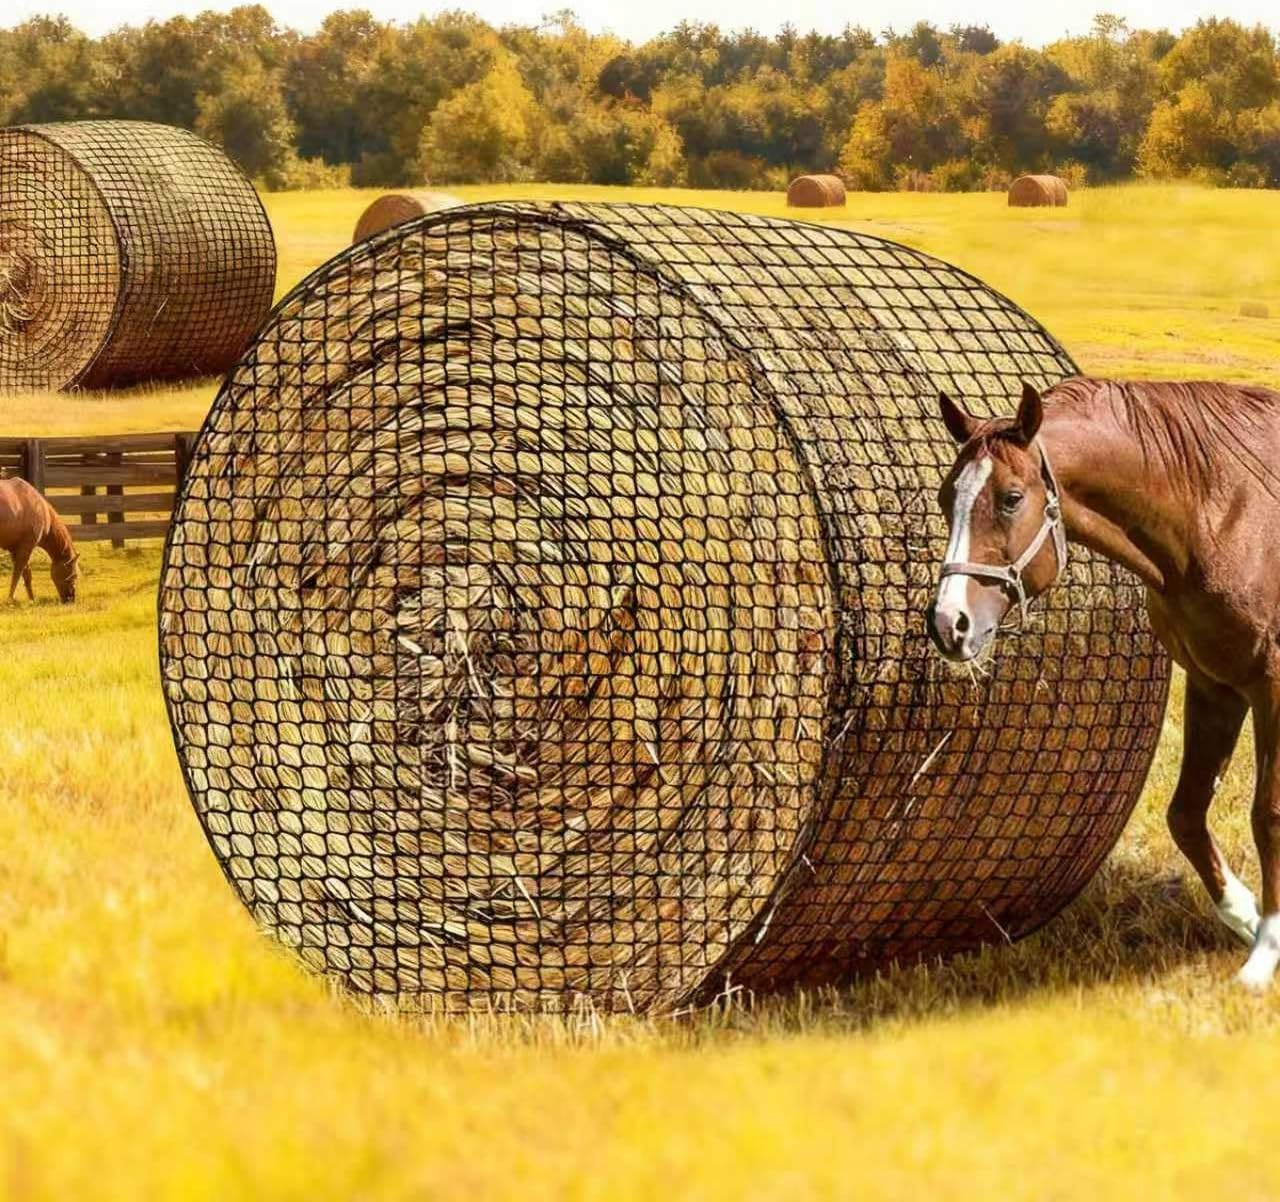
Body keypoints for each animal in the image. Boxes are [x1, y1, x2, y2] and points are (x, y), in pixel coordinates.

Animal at [926, 376, 1280, 990]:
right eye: (949, 499)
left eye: (1011, 498)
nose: (951, 623)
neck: (1224, 510)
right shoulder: (1214, 683)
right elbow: (1186, 815)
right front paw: (1244, 916)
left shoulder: (1272, 685)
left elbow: (1270, 817)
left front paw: (1265, 954)